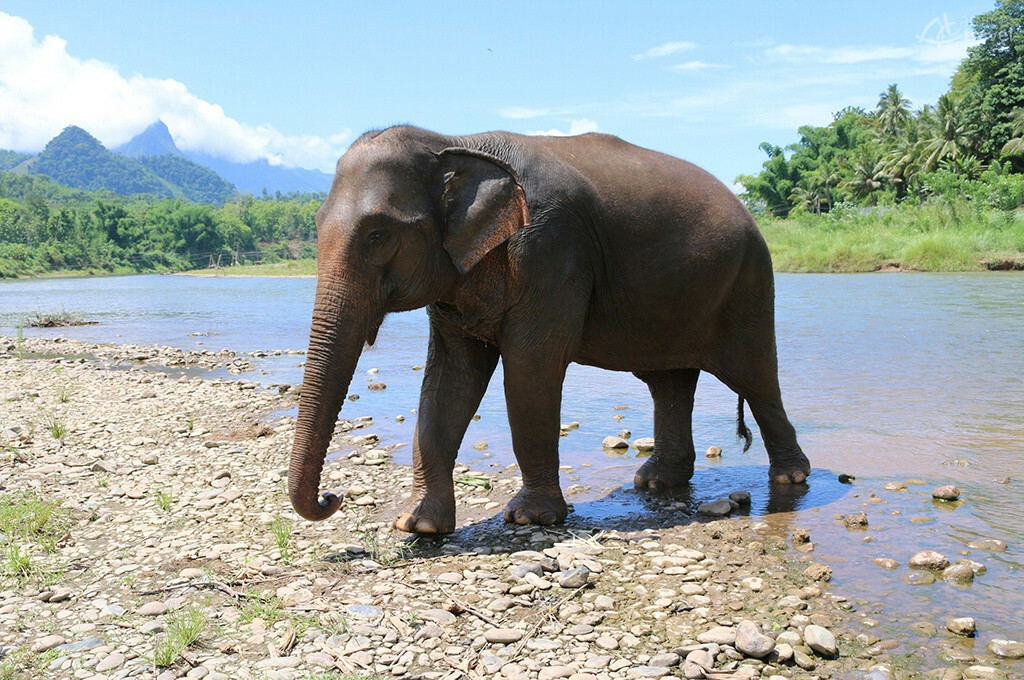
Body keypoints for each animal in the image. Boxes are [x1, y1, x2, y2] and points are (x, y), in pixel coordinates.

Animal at [288, 125, 810, 534]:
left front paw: (530, 518)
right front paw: (417, 526)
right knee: (669, 383)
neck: (455, 141)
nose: (333, 498)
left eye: (377, 235)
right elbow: (448, 382)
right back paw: (655, 482)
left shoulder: (551, 250)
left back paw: (791, 479)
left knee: (756, 377)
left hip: (748, 284)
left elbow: (530, 369)